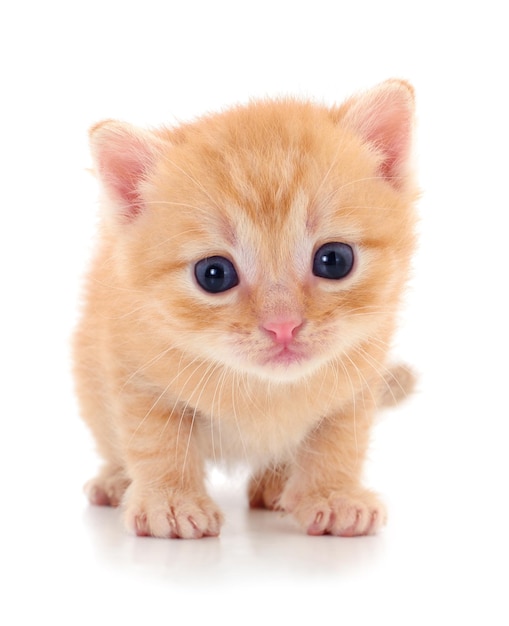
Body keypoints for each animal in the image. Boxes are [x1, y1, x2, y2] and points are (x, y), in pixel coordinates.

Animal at [73, 78, 418, 536]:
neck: (263, 389)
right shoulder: (132, 368)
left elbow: (340, 437)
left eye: (335, 260)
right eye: (214, 274)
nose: (283, 326)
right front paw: (171, 501)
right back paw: (115, 480)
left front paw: (333, 494)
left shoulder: (360, 373)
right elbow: (154, 440)